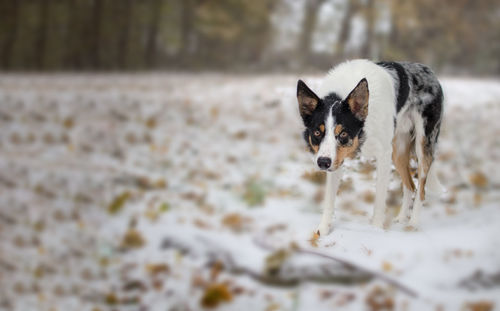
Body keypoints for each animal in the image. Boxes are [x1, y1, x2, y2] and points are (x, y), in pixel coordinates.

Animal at [294, 59, 444, 236]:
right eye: (317, 132)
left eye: (343, 133)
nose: (323, 163)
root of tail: (428, 71)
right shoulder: (335, 159)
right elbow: (329, 199)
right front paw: (323, 230)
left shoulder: (383, 155)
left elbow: (379, 198)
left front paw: (376, 230)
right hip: (398, 150)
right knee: (410, 186)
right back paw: (401, 218)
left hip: (422, 144)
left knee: (421, 188)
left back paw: (413, 223)